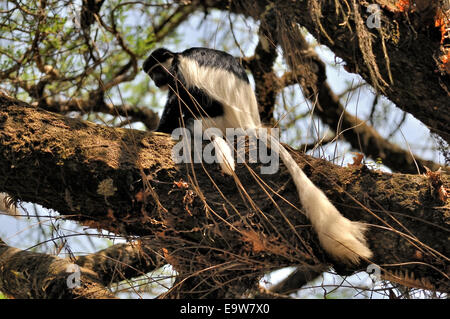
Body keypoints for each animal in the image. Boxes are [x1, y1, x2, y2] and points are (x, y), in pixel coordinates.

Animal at [144, 46, 372, 264]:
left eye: (156, 71)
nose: (155, 81)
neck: (177, 56)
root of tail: (249, 125)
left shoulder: (179, 69)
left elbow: (177, 97)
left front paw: (160, 129)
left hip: (213, 116)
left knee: (192, 96)